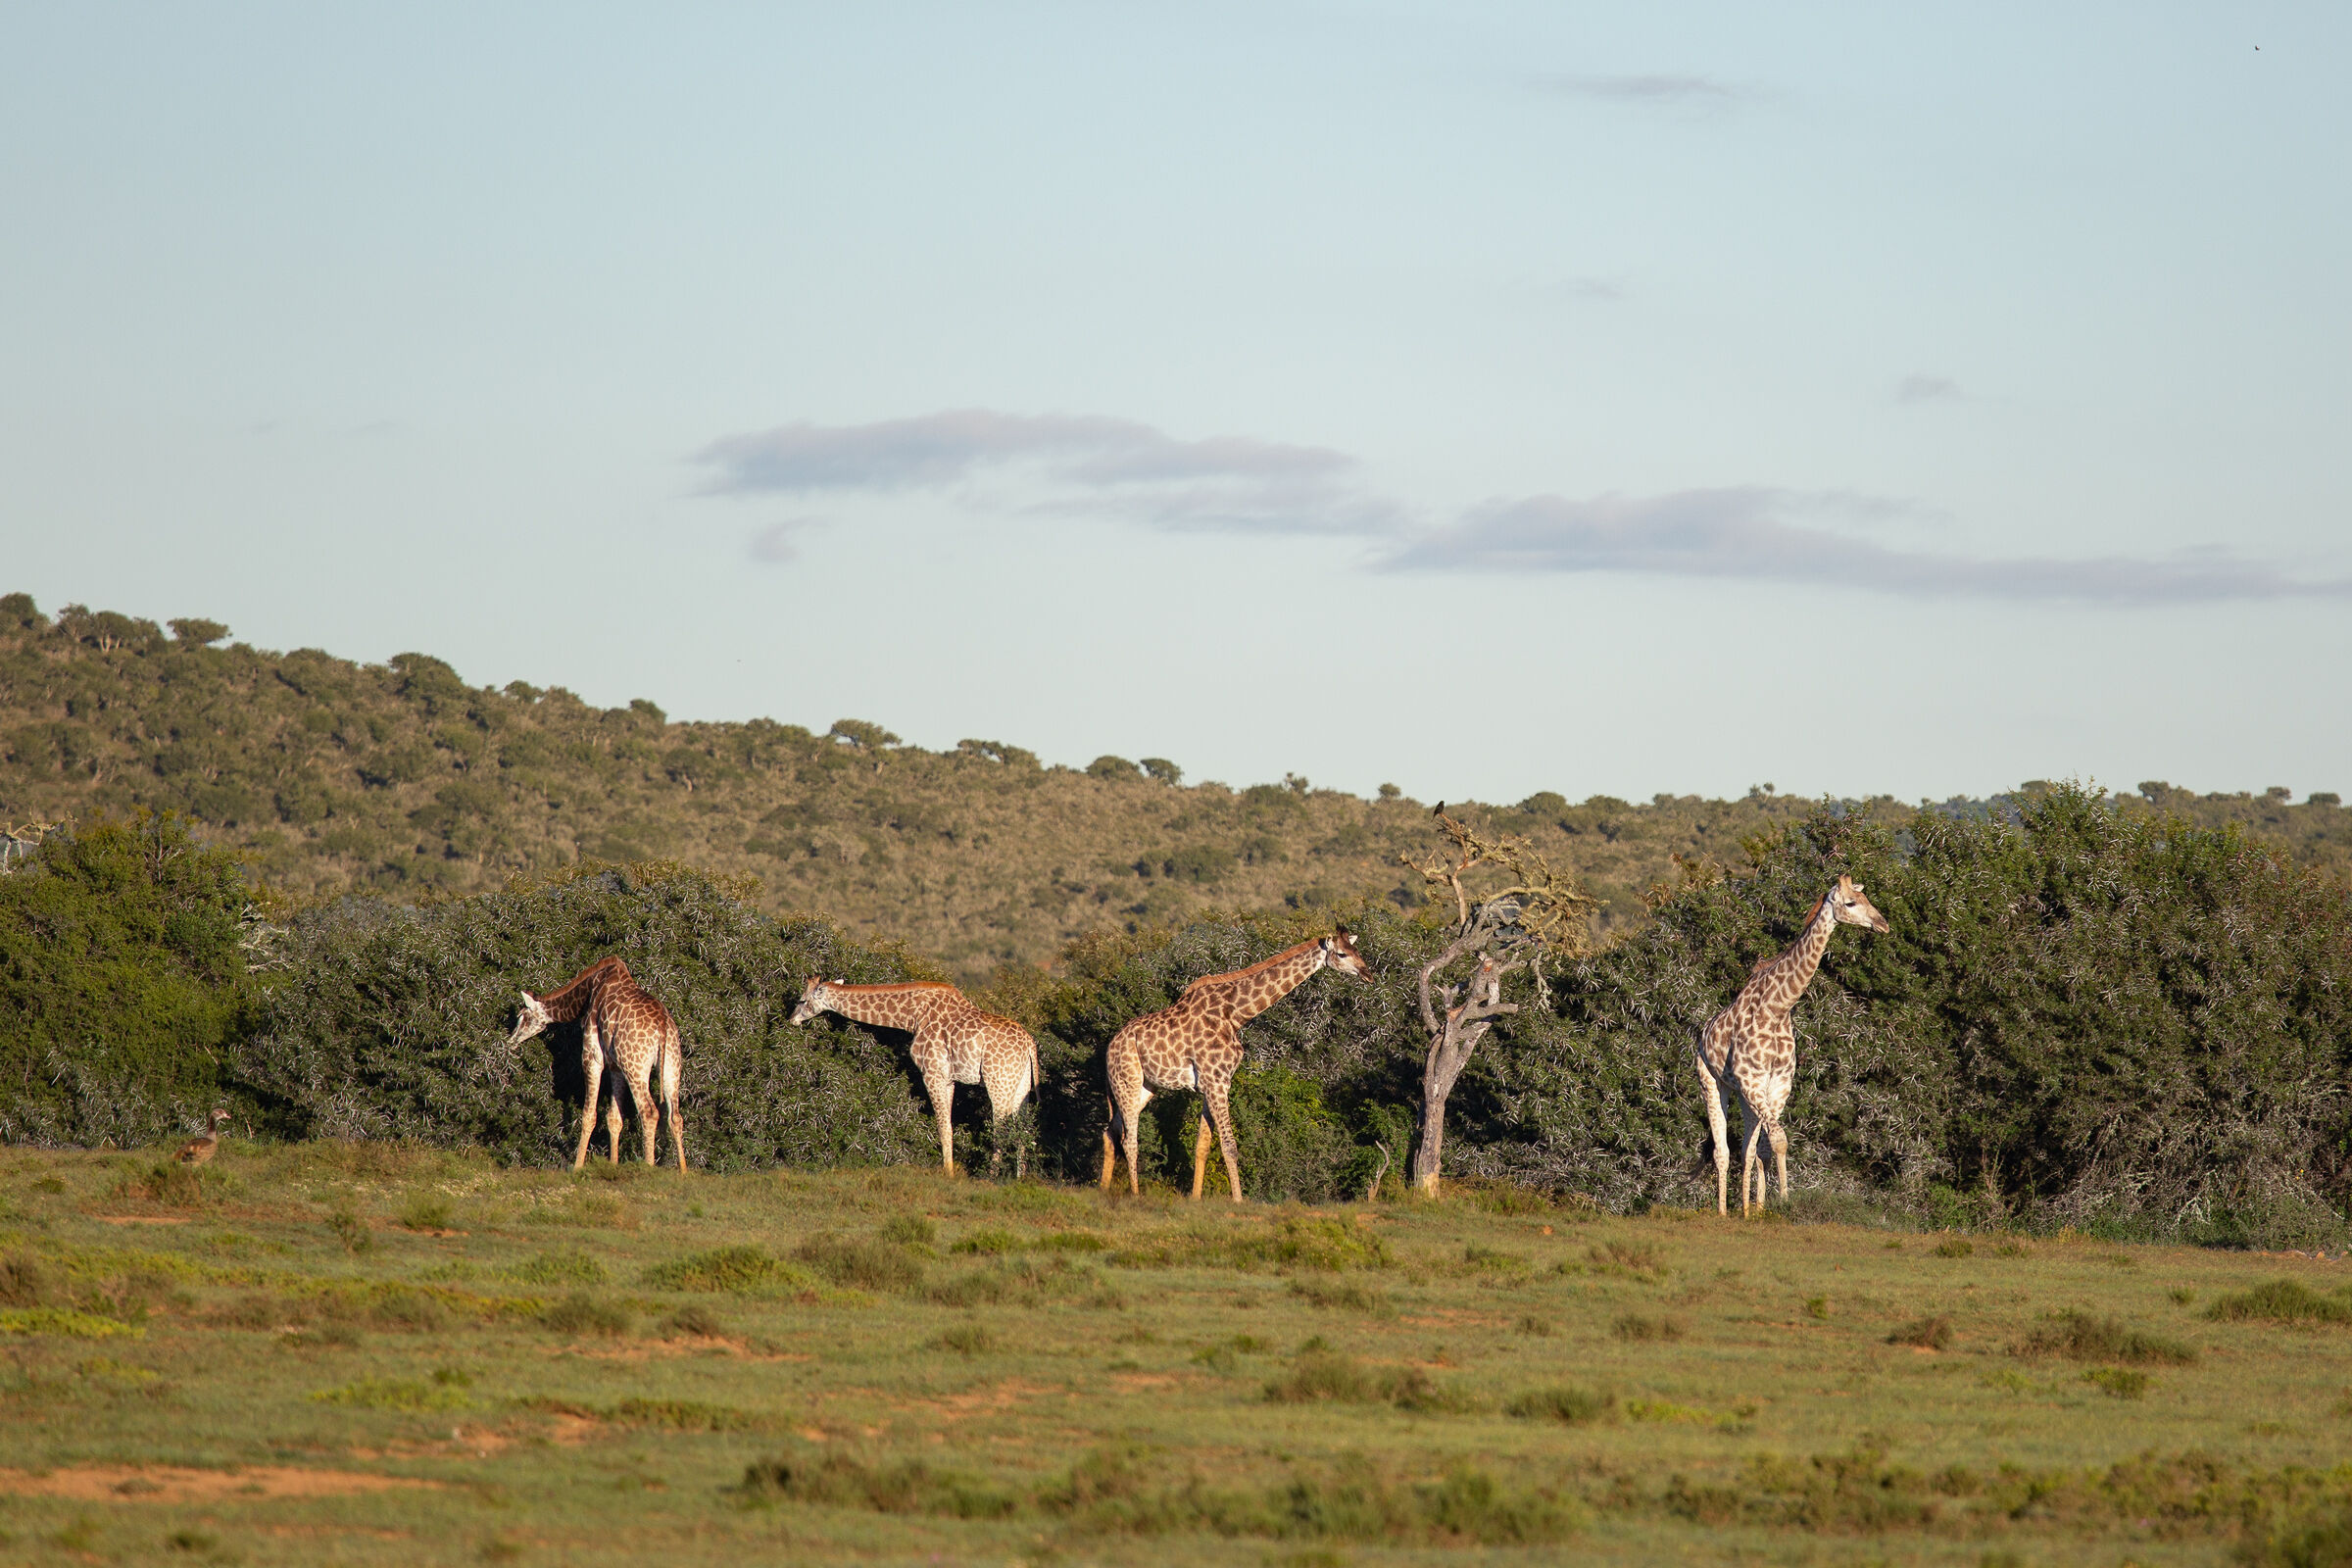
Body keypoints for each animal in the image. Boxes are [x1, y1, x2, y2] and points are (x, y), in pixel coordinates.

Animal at [510, 956, 688, 1171]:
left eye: (521, 1017)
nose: (510, 1040)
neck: (586, 995)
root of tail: (662, 1025)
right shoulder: (615, 1066)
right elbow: (614, 1118)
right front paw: (612, 1165)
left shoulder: (591, 1055)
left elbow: (589, 1115)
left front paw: (577, 1168)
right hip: (671, 1063)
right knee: (675, 1117)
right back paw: (684, 1173)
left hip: (635, 1065)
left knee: (649, 1112)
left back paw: (648, 1167)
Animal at [788, 980, 1041, 1175]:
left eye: (802, 1000)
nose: (791, 1020)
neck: (913, 1015)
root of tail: (1029, 1045)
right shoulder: (948, 1078)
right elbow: (948, 1125)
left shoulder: (932, 1072)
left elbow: (943, 1126)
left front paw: (948, 1173)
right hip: (1021, 1085)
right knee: (1024, 1130)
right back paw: (1019, 1177)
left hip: (998, 1081)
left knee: (1002, 1129)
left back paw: (991, 1176)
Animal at [1098, 931, 1371, 1203]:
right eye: (1342, 954)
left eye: (1358, 951)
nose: (1368, 974)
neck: (1236, 1014)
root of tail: (1110, 1047)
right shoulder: (1216, 1081)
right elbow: (1229, 1145)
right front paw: (1239, 1200)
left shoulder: (1213, 1083)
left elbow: (1202, 1145)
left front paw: (1195, 1199)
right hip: (1128, 1082)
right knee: (1129, 1140)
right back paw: (1134, 1194)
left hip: (1144, 1087)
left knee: (1110, 1131)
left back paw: (1103, 1188)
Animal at [1695, 874, 1888, 1216]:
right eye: (1850, 903)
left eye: (1868, 900)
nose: (1883, 924)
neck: (1777, 1009)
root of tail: (1702, 1034)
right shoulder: (1751, 1081)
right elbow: (1778, 1140)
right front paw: (1785, 1201)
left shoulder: (1778, 1084)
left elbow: (1768, 1147)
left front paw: (1763, 1208)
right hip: (1713, 1082)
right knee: (1722, 1152)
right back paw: (1723, 1212)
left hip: (1744, 1094)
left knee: (1747, 1149)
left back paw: (1746, 1210)